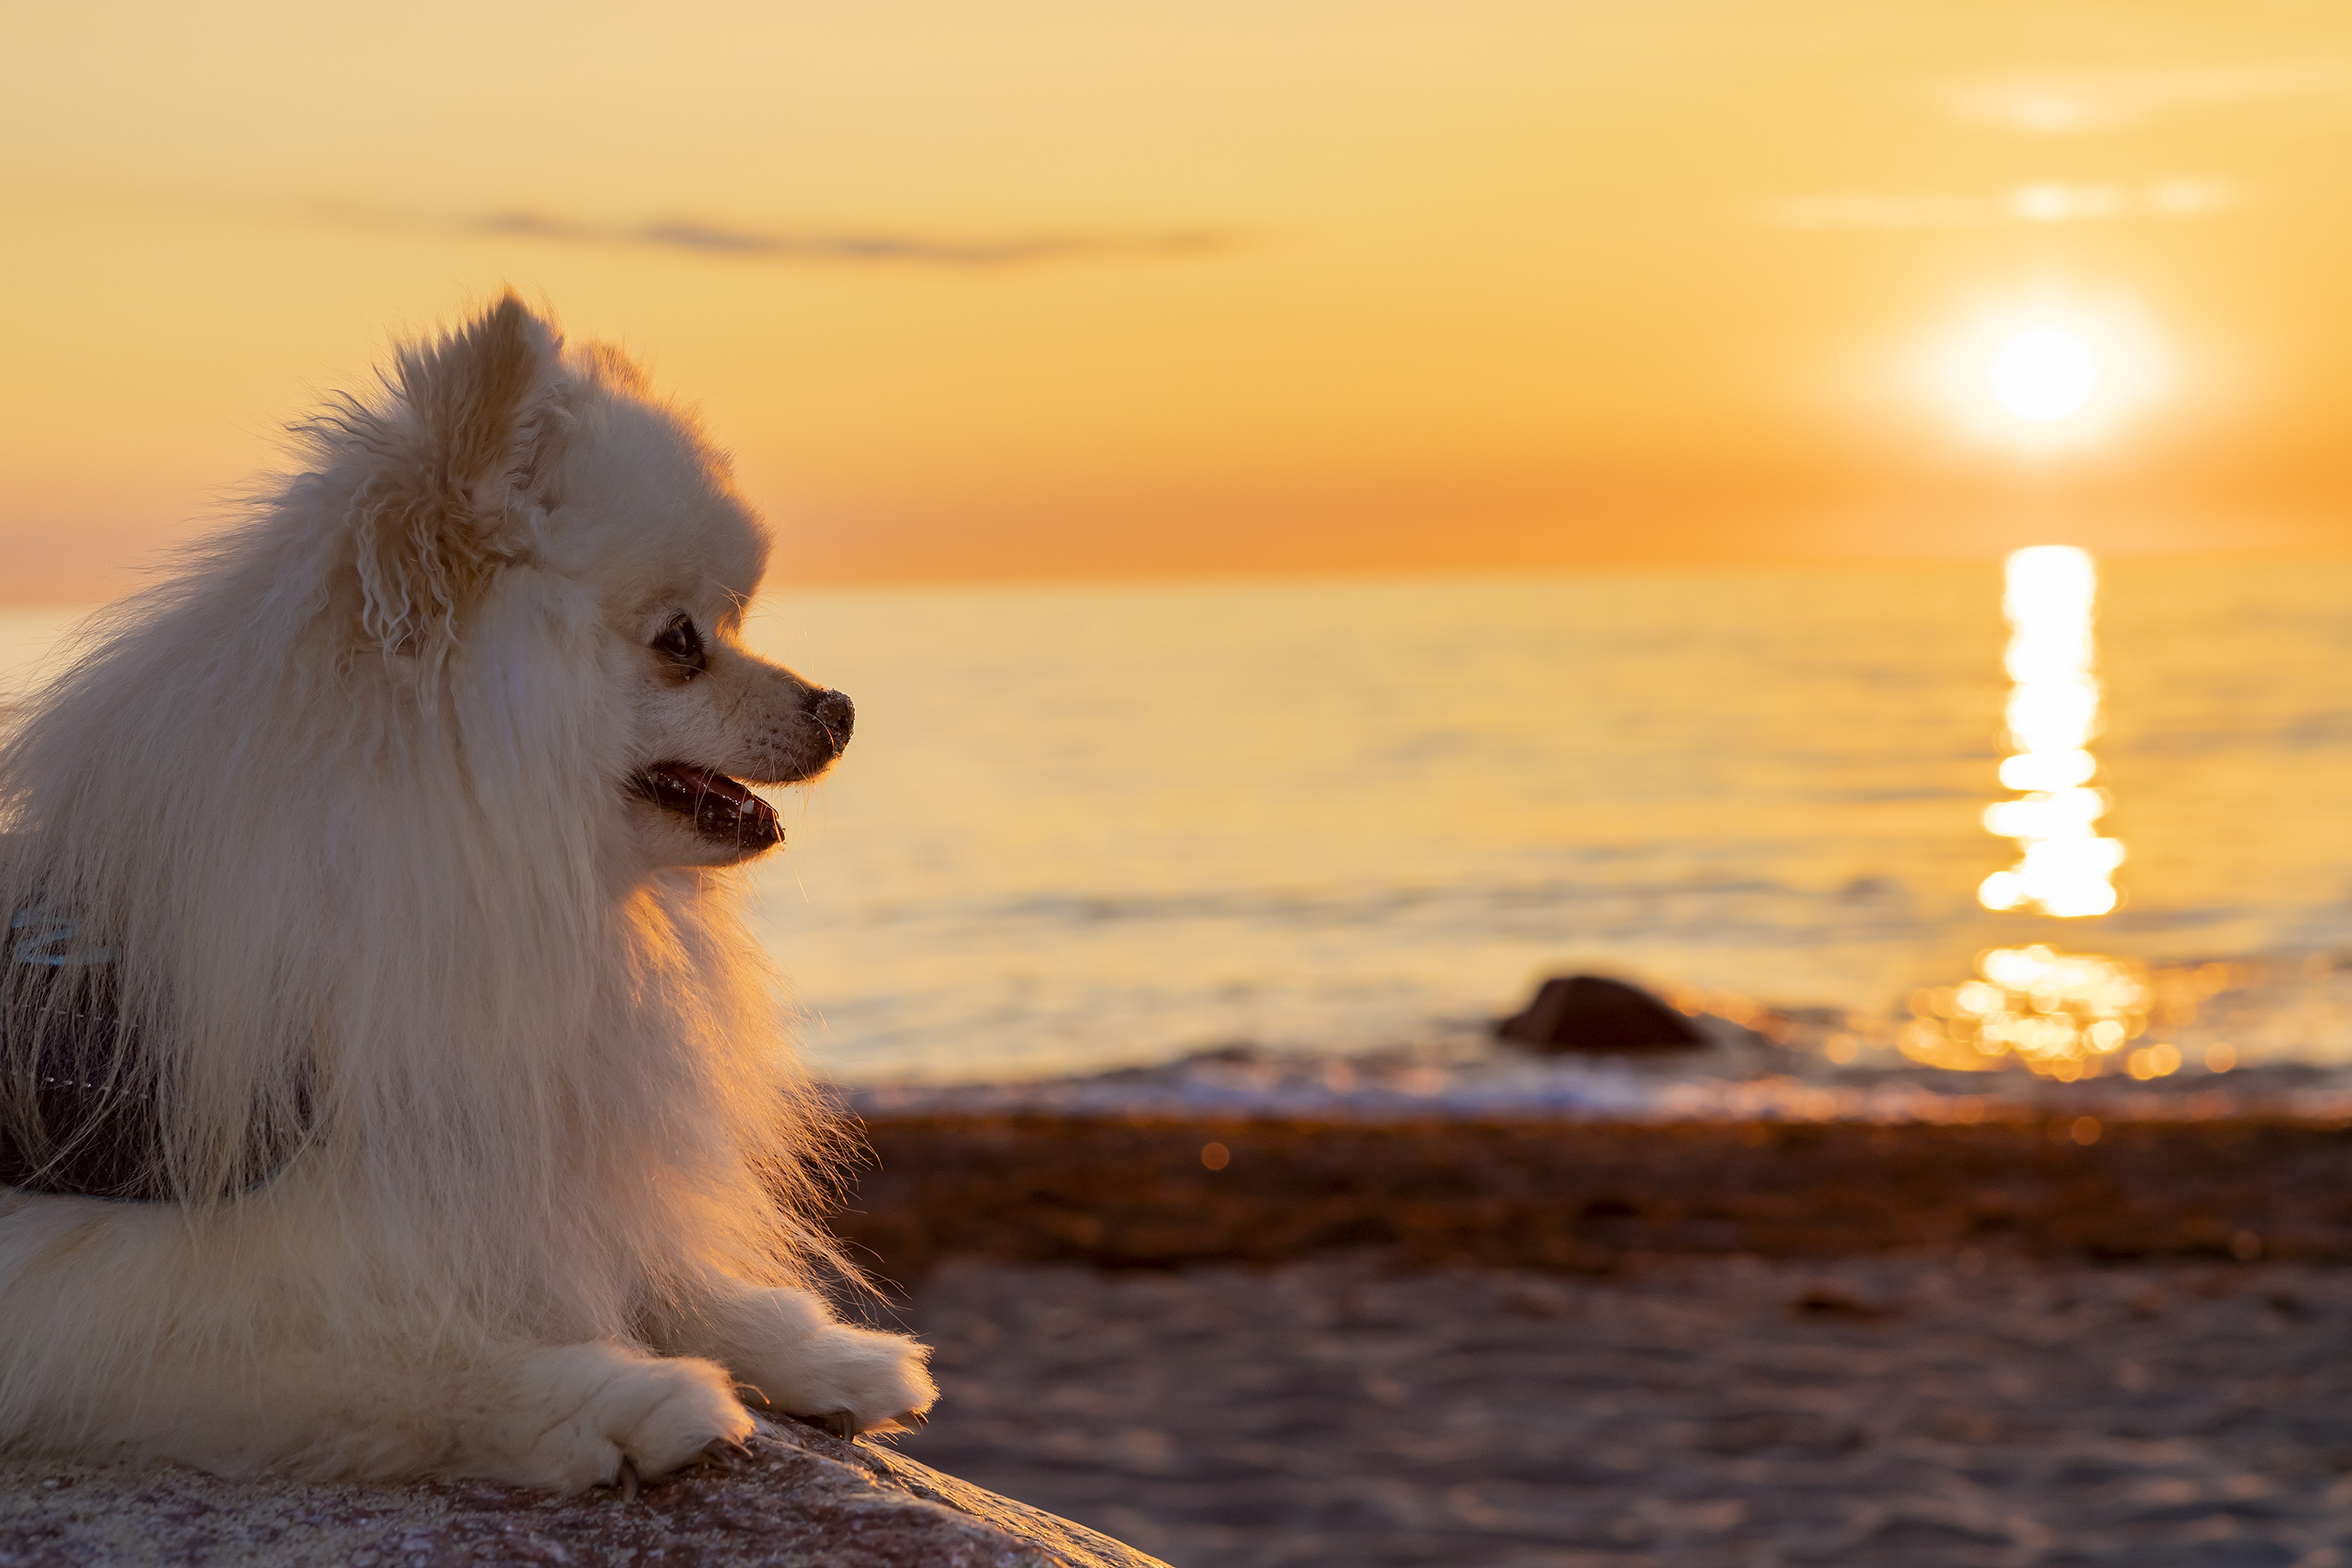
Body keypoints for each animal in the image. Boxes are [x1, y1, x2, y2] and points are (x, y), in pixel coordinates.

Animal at [0, 297, 936, 1495]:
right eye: (680, 643)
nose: (841, 706)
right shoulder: (113, 1288)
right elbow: (388, 1354)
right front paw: (619, 1402)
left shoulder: (510, 1148)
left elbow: (642, 1263)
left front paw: (817, 1353)